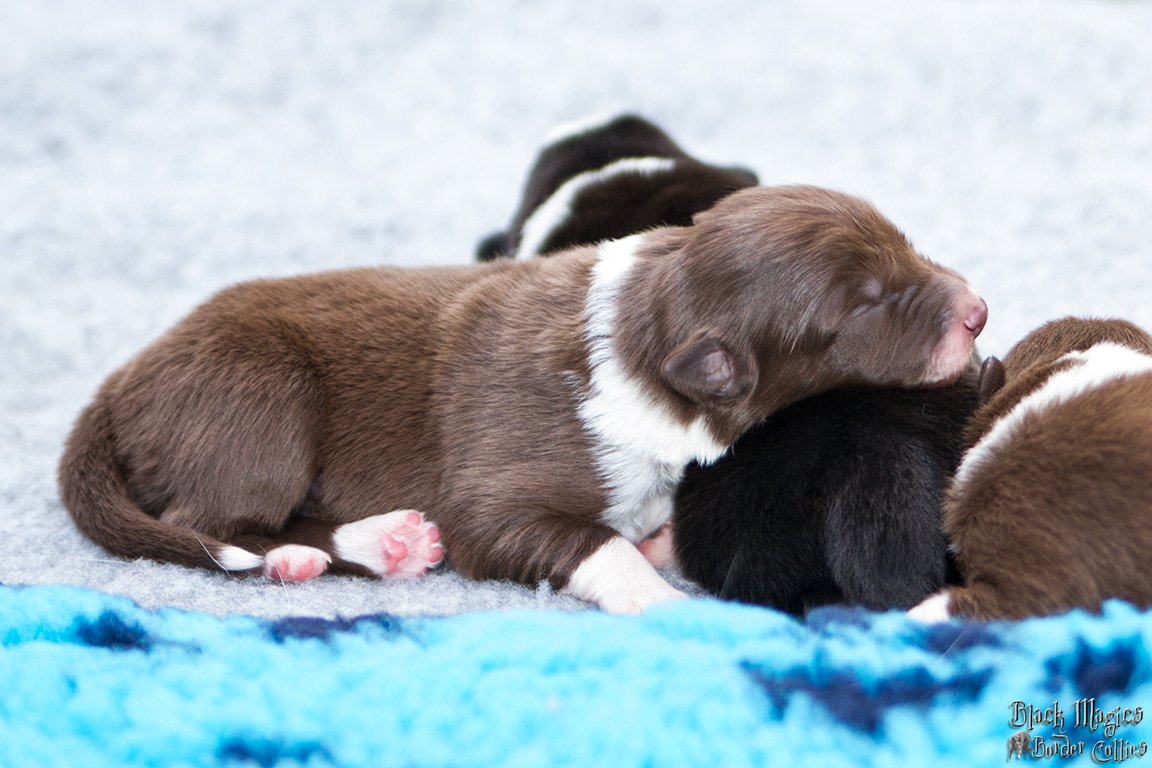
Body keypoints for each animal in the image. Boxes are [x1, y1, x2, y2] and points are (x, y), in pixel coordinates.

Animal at [59, 185, 986, 614]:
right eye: (863, 305)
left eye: (903, 243)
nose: (977, 309)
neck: (646, 339)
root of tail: (118, 384)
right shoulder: (503, 495)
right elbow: (581, 540)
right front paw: (659, 599)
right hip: (262, 399)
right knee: (204, 519)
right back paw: (302, 556)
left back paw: (388, 542)